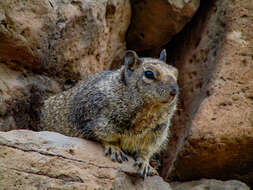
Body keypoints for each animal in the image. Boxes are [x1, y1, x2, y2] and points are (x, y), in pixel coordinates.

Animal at [40, 49, 178, 177]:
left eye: (176, 72)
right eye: (149, 74)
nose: (174, 91)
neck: (149, 110)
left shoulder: (156, 134)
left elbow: (146, 150)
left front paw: (145, 162)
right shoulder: (100, 120)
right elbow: (104, 136)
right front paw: (114, 148)